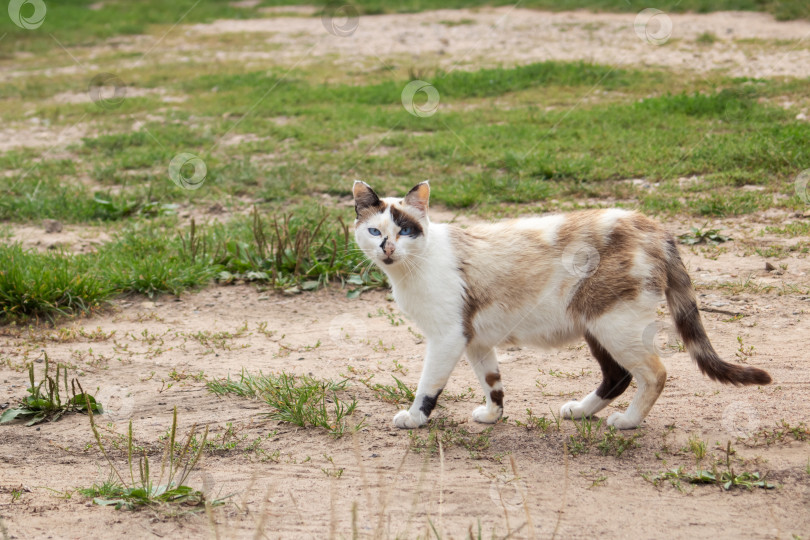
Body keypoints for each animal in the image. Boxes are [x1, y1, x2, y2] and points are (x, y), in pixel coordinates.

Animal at [350, 181, 768, 430]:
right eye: (374, 231)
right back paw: (581, 411)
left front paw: (414, 419)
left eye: (405, 230)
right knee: (618, 376)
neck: (409, 270)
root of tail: (651, 224)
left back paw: (627, 422)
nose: (388, 248)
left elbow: (427, 387)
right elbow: (492, 383)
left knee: (654, 374)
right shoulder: (475, 341)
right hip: (598, 326)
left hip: (615, 325)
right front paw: (493, 416)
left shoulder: (446, 339)